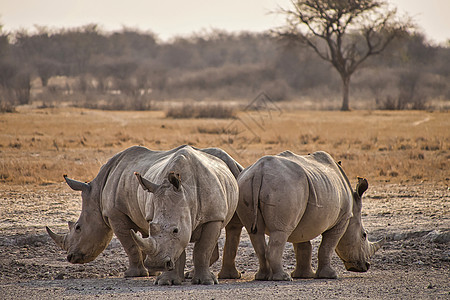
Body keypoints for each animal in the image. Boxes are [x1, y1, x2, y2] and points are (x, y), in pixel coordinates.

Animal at [46, 144, 243, 284]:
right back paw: (191, 275)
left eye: (78, 228)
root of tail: (230, 161)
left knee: (230, 227)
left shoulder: (115, 214)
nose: (70, 257)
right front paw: (161, 276)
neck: (97, 192)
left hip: (233, 178)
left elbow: (130, 244)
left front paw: (134, 274)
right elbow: (150, 241)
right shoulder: (148, 215)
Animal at [227, 151, 384, 280]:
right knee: (281, 231)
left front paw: (303, 275)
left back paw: (262, 277)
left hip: (247, 184)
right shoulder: (343, 219)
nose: (366, 266)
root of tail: (260, 170)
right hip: (284, 186)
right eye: (364, 235)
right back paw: (282, 278)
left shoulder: (303, 220)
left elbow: (303, 245)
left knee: (256, 233)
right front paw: (330, 275)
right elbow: (327, 246)